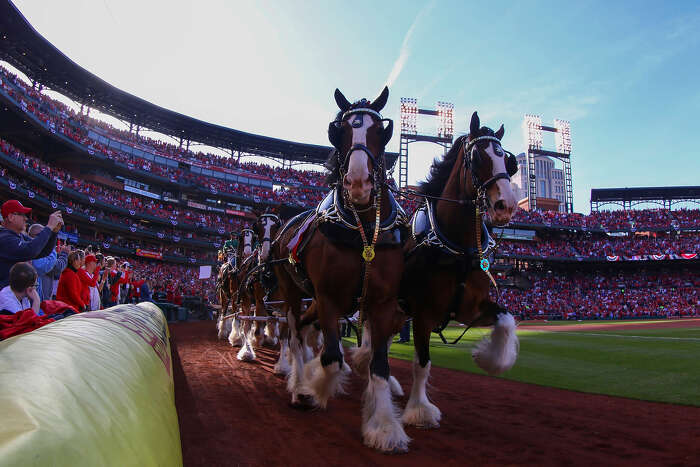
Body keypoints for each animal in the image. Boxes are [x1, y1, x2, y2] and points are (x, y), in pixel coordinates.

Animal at [270, 87, 410, 454]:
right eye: (340, 131)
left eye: (381, 131)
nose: (358, 183)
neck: (362, 228)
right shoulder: (328, 297)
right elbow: (331, 356)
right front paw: (312, 390)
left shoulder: (382, 302)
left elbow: (379, 364)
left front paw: (384, 426)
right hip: (293, 292)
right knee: (294, 334)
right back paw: (297, 380)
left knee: (306, 329)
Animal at [400, 112, 520, 432]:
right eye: (478, 157)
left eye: (508, 160)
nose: (506, 205)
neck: (459, 249)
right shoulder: (423, 313)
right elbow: (422, 362)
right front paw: (419, 410)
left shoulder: (471, 308)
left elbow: (507, 322)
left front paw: (488, 359)